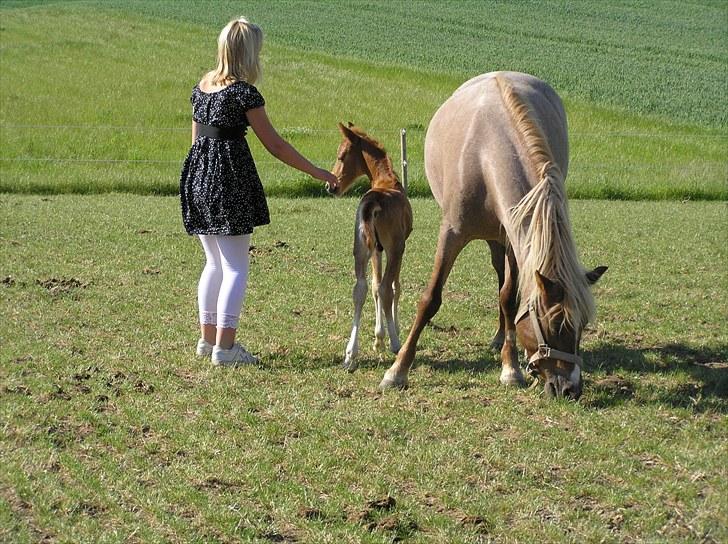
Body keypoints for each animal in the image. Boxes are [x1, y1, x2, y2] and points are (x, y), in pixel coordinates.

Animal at [330, 123, 413, 372]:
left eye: (342, 155)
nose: (331, 187)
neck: (386, 180)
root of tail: (373, 202)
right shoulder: (398, 247)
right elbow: (394, 287)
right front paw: (391, 332)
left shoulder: (376, 249)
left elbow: (374, 287)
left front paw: (378, 339)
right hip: (394, 249)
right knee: (387, 288)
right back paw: (396, 345)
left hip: (360, 249)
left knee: (360, 289)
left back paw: (350, 354)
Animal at [378, 72, 607, 399]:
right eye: (554, 325)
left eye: (583, 325)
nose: (570, 389)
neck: (486, 156)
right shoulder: (451, 234)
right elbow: (430, 298)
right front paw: (397, 371)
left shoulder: (514, 238)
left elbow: (510, 299)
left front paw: (510, 368)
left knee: (503, 286)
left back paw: (503, 340)